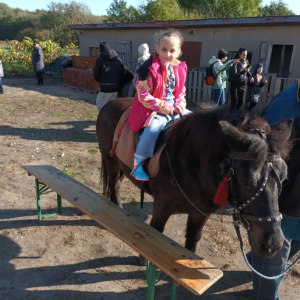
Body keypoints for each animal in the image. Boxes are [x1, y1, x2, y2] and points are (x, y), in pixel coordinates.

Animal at [97, 99, 292, 258]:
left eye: (284, 177)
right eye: (246, 180)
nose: (272, 245)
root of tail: (110, 103)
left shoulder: (200, 213)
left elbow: (192, 241)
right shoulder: (161, 207)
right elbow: (156, 233)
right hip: (110, 161)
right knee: (114, 185)